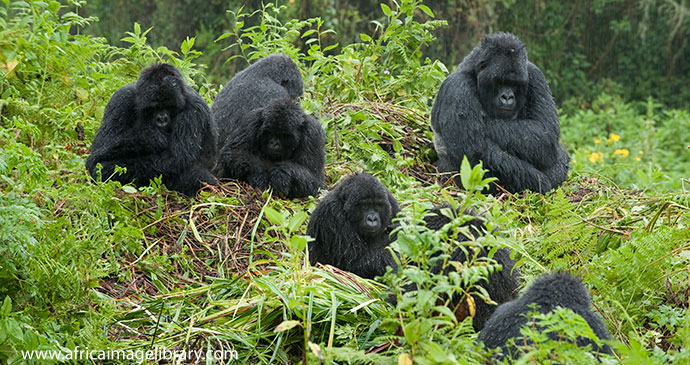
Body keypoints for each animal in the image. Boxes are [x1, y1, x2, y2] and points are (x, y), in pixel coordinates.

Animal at [85, 61, 215, 196]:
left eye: (168, 106)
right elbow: (102, 142)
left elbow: (176, 158)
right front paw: (152, 137)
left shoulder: (194, 110)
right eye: (155, 107)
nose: (162, 119)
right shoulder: (121, 98)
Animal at [306, 172, 516, 328]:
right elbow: (358, 260)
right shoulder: (332, 215)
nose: (372, 218)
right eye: (364, 206)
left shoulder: (390, 203)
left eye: (376, 206)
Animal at [430, 32, 568, 195]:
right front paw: (540, 181)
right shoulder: (457, 86)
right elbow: (472, 154)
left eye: (514, 84)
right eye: (500, 82)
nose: (507, 97)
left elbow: (545, 132)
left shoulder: (535, 74)